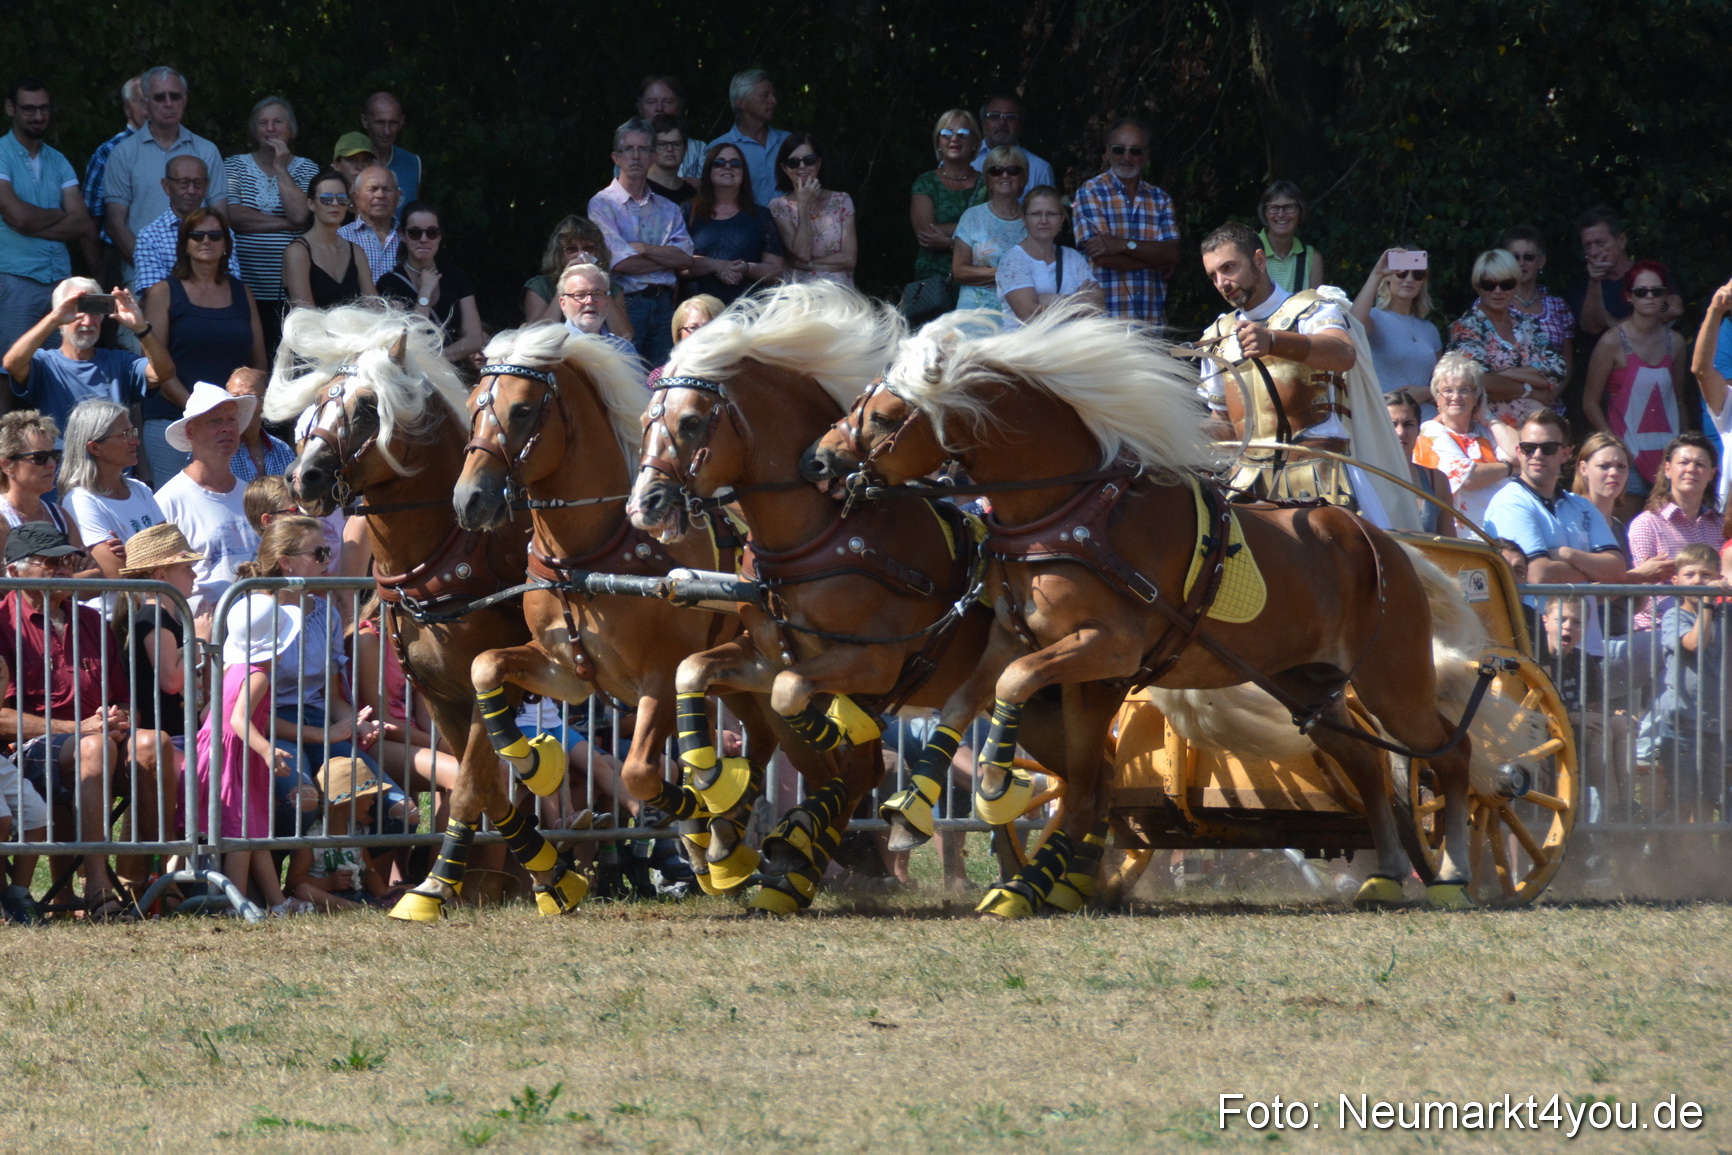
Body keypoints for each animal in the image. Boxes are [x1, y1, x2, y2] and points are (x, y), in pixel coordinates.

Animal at [267, 304, 553, 920]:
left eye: (366, 407)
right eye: (320, 399)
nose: (303, 477)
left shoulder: (490, 686)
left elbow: (473, 782)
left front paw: (447, 886)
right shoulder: (441, 695)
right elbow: (483, 783)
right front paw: (513, 876)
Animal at [451, 322, 790, 904]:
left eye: (522, 410)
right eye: (474, 407)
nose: (468, 499)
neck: (588, 561)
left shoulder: (658, 679)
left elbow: (637, 773)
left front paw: (690, 818)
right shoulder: (565, 673)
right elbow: (485, 665)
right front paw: (532, 761)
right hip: (739, 674)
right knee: (762, 738)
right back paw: (727, 838)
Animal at [626, 282, 1068, 912]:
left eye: (689, 422)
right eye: (646, 420)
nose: (645, 504)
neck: (824, 534)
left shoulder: (870, 663)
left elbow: (808, 711)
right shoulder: (769, 657)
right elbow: (694, 670)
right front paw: (715, 790)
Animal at [801, 304, 1481, 916]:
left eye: (884, 416)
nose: (819, 461)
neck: (1066, 513)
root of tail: (1381, 542)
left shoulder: (1106, 647)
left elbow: (1019, 697)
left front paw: (995, 787)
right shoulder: (1019, 640)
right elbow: (968, 704)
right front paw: (913, 809)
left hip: (1392, 680)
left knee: (1448, 756)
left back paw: (1453, 873)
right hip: (1305, 685)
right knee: (1366, 764)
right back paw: (1387, 874)